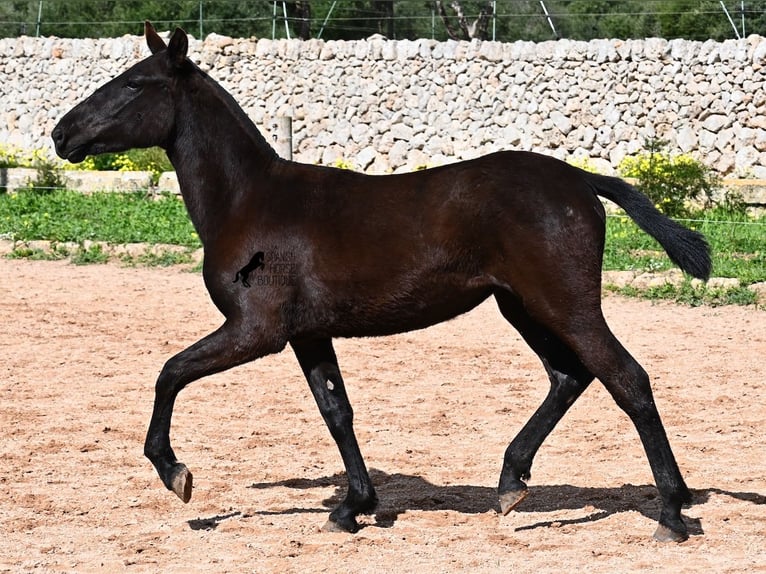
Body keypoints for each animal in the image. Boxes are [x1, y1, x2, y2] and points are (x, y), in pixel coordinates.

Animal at [52, 22, 712, 544]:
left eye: (135, 83)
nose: (62, 134)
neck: (250, 200)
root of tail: (579, 179)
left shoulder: (254, 330)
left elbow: (170, 372)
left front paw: (176, 474)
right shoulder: (308, 335)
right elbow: (336, 410)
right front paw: (353, 507)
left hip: (565, 305)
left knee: (627, 379)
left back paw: (671, 515)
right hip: (521, 307)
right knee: (570, 376)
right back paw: (509, 484)